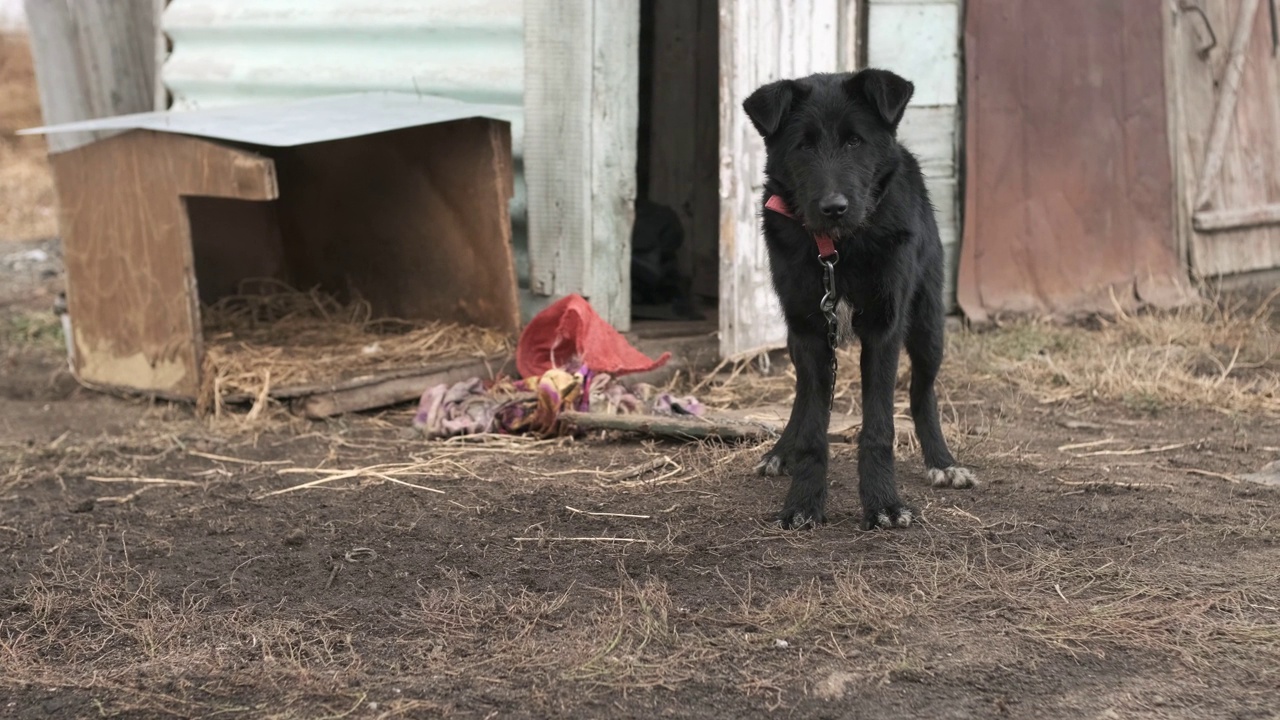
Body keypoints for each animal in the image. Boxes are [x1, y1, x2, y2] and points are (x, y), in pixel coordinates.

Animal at [747, 68, 972, 527]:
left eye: (855, 141)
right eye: (803, 145)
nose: (834, 207)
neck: (839, 249)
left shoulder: (884, 330)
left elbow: (879, 427)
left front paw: (884, 503)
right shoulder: (810, 331)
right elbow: (813, 428)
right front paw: (803, 502)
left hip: (928, 327)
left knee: (922, 393)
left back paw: (942, 461)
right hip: (795, 339)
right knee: (801, 396)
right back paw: (781, 452)